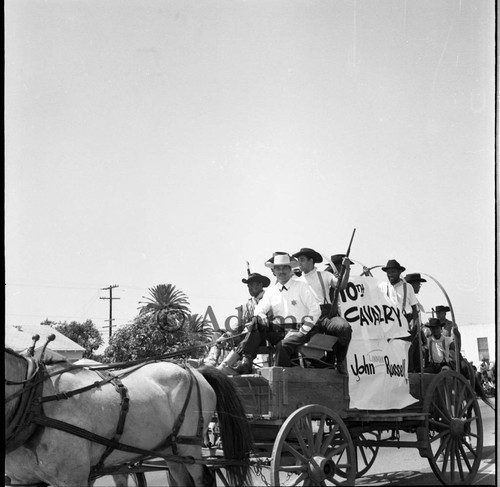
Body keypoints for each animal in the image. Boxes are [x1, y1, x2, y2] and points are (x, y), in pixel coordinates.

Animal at [5, 348, 252, 486]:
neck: (35, 401)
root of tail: (195, 370)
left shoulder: (73, 478)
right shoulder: (21, 480)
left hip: (189, 446)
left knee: (203, 479)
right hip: (170, 449)